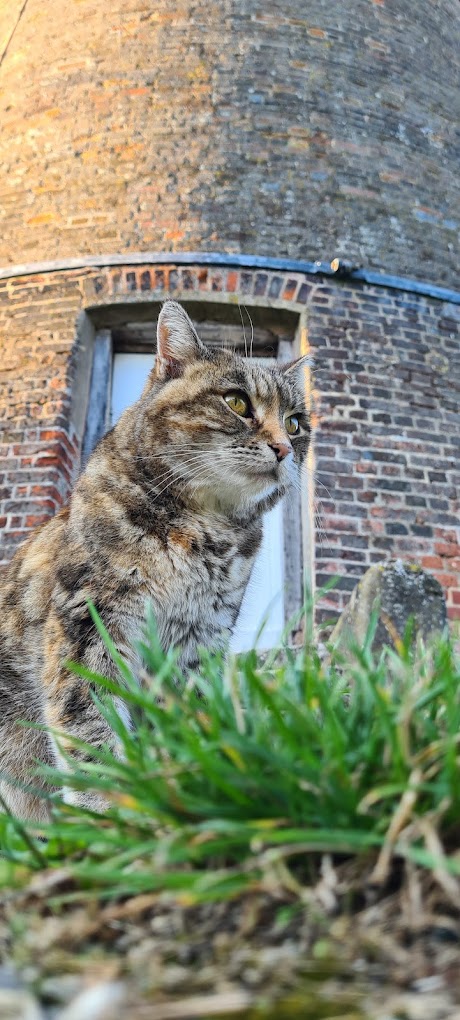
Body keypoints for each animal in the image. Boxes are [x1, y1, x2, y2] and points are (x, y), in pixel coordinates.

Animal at [0, 299, 314, 820]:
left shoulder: (199, 640)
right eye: (237, 402)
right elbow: (91, 728)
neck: (203, 532)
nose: (284, 448)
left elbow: (183, 722)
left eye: (295, 423)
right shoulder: (88, 626)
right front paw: (111, 812)